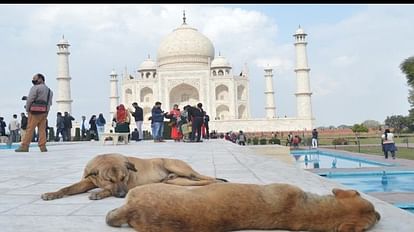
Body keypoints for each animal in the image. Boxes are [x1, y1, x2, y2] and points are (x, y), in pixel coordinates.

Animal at [41, 153, 226, 200]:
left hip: (176, 167)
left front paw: (100, 193)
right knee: (198, 181)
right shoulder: (86, 181)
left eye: (124, 178)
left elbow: (107, 191)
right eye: (109, 180)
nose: (123, 195)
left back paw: (218, 182)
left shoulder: (129, 185)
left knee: (207, 178)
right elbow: (67, 188)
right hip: (179, 181)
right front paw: (52, 193)